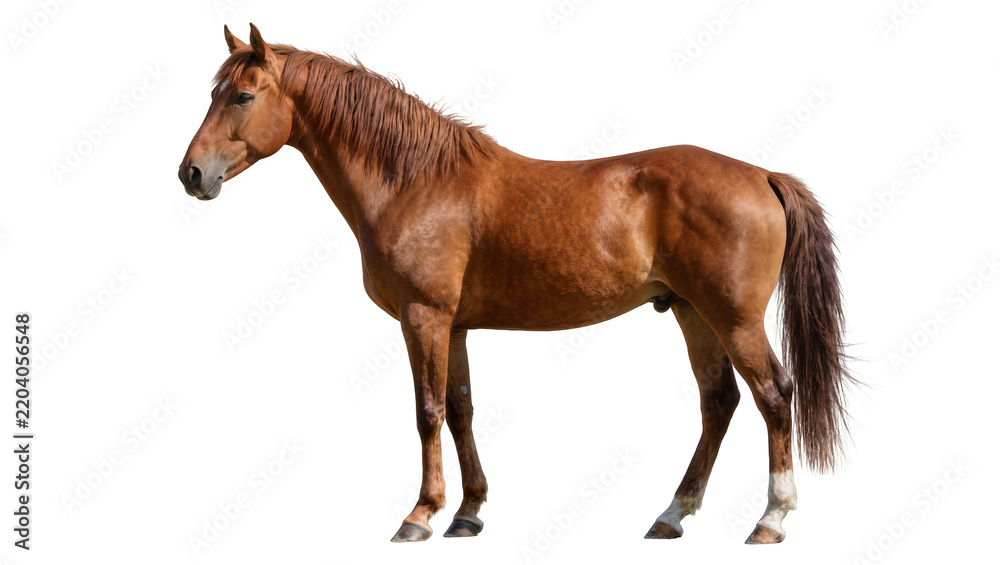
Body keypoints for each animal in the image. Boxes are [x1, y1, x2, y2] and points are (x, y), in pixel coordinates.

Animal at [178, 24, 853, 544]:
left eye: (242, 96)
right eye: (215, 92)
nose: (191, 173)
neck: (414, 181)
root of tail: (761, 174)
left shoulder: (424, 317)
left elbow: (426, 411)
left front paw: (420, 516)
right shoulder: (454, 326)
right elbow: (460, 410)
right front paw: (468, 514)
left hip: (733, 317)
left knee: (774, 395)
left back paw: (770, 519)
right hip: (691, 312)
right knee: (720, 402)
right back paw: (671, 515)